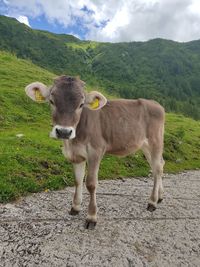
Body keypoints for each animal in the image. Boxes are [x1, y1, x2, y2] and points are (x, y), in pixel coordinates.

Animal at [25, 75, 166, 230]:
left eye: (81, 104)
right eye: (51, 101)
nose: (64, 132)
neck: (73, 141)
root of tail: (155, 104)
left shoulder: (96, 151)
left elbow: (91, 184)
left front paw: (91, 217)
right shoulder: (76, 155)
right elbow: (77, 180)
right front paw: (75, 207)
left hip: (155, 141)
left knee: (157, 168)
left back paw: (152, 202)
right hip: (145, 146)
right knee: (159, 166)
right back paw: (159, 197)